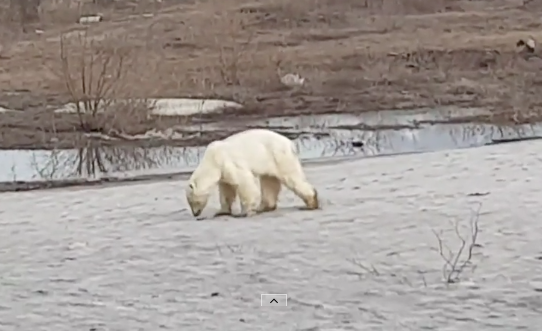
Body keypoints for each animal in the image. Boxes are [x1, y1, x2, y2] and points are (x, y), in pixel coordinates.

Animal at [187, 129, 320, 218]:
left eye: (192, 201)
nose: (195, 214)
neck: (211, 160)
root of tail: (290, 143)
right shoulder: (222, 172)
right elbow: (226, 189)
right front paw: (221, 212)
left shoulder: (227, 162)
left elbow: (243, 182)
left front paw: (245, 212)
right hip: (269, 161)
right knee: (269, 180)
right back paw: (265, 207)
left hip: (279, 156)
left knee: (292, 177)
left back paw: (311, 203)